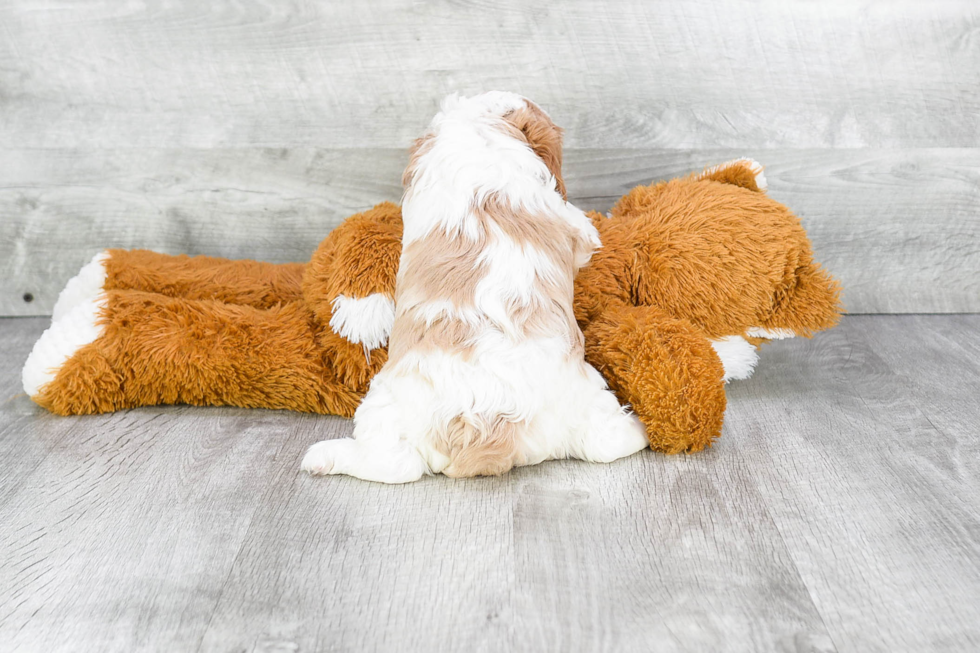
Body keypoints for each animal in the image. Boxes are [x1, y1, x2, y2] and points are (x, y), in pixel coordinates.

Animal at [302, 90, 648, 484]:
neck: (481, 136)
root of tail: (487, 423)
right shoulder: (571, 226)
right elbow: (583, 230)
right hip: (585, 399)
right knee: (608, 442)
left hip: (385, 404)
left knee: (394, 464)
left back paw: (324, 457)